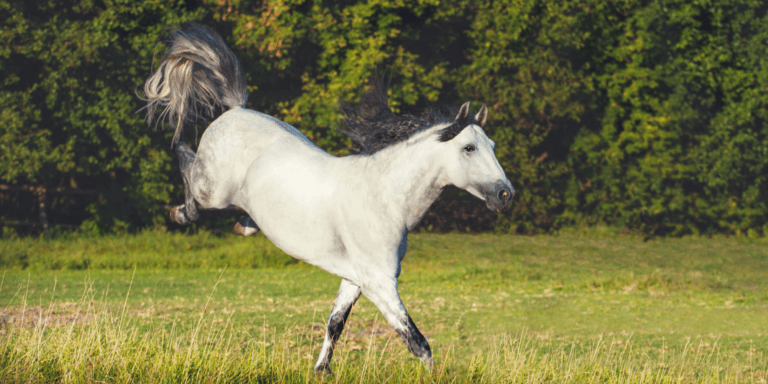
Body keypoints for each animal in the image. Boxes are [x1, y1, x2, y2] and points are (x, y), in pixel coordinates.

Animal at [142, 22, 516, 374]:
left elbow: (335, 324)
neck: (385, 198)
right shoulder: (379, 282)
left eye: (493, 145)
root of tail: (236, 111)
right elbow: (417, 342)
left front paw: (321, 369)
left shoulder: (354, 279)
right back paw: (179, 210)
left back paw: (242, 223)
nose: (505, 194)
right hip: (212, 192)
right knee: (184, 157)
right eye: (468, 148)